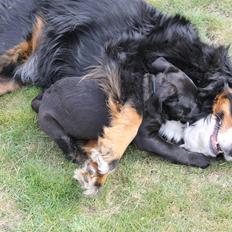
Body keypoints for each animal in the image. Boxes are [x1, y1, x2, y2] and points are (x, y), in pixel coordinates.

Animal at [31, 57, 208, 195]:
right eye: (191, 107)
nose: (204, 113)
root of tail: (43, 103)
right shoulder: (146, 138)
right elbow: (171, 150)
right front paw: (198, 158)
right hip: (52, 126)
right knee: (67, 147)